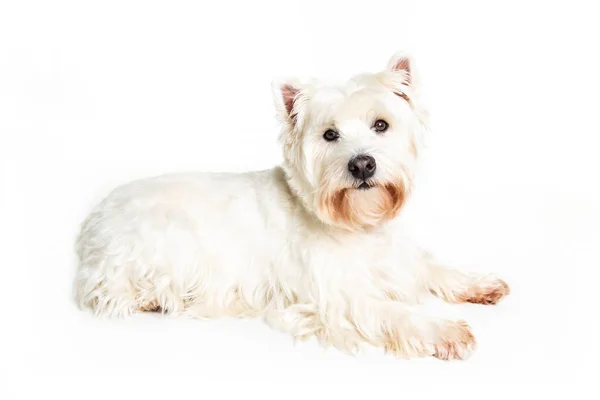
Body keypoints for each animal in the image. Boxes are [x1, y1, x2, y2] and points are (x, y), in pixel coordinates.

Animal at [72, 51, 508, 360]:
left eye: (381, 125)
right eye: (329, 134)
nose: (362, 164)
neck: (358, 224)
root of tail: (92, 221)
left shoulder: (398, 257)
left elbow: (435, 267)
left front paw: (480, 284)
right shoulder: (335, 296)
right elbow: (392, 312)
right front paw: (444, 331)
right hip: (164, 239)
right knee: (117, 291)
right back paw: (156, 299)